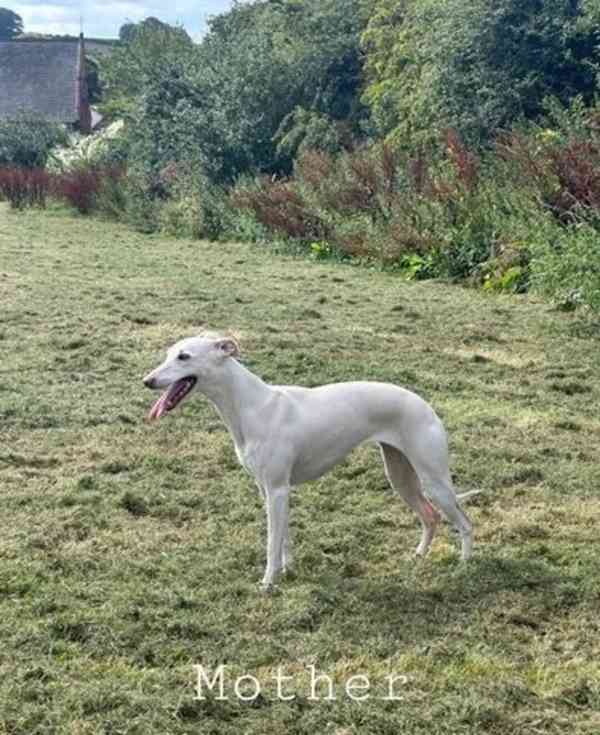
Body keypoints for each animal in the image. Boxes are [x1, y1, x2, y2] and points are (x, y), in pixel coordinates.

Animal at [143, 332, 476, 588]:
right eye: (169, 353)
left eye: (184, 356)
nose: (147, 380)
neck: (251, 405)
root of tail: (426, 405)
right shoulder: (268, 490)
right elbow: (283, 537)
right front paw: (287, 569)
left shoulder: (278, 488)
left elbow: (271, 542)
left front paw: (268, 582)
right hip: (400, 476)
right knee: (430, 516)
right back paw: (419, 555)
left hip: (433, 479)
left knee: (464, 522)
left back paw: (464, 565)